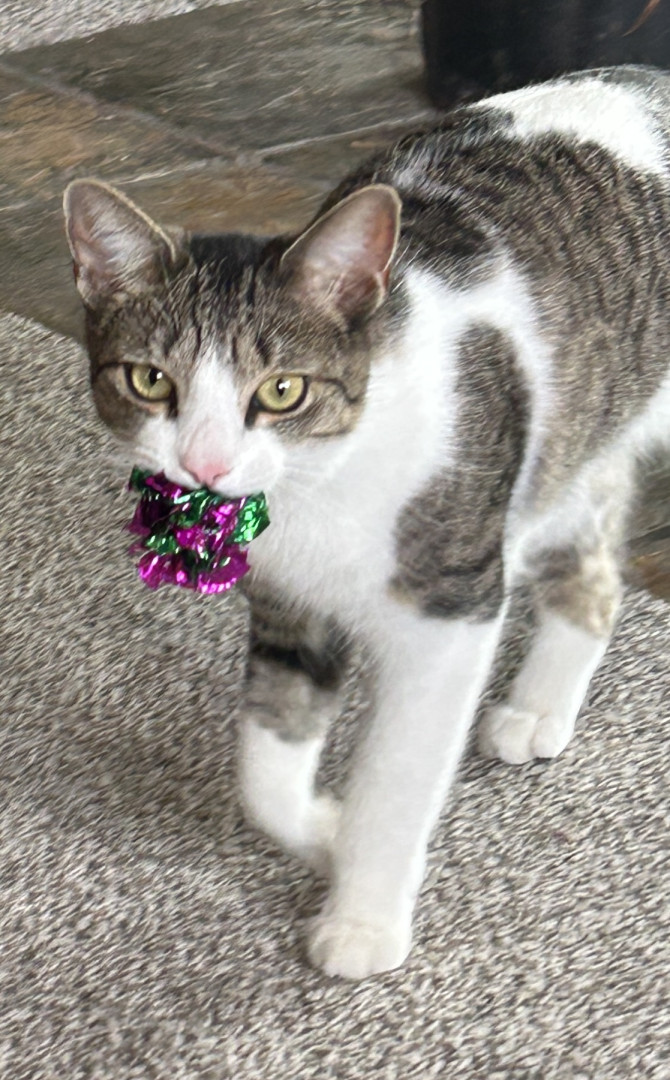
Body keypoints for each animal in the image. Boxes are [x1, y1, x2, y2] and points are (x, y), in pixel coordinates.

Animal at [63, 66, 670, 981]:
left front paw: (363, 915)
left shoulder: (452, 607)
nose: (206, 465)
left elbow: (398, 775)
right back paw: (538, 707)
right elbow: (265, 769)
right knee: (594, 567)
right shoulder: (289, 606)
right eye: (149, 380)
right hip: (573, 440)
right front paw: (324, 830)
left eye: (282, 391)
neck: (324, 484)